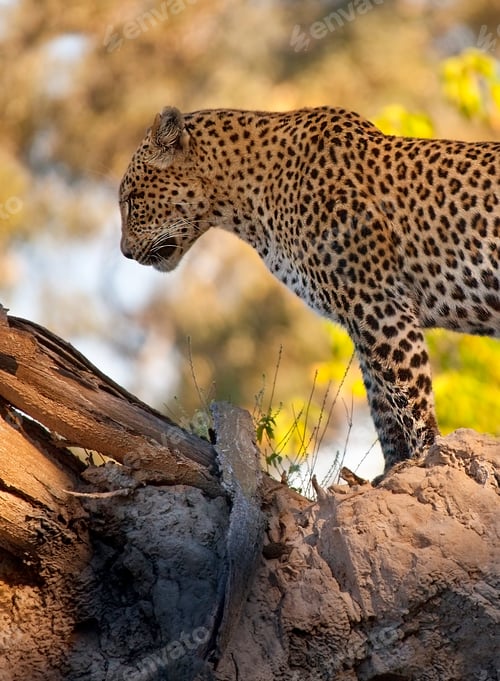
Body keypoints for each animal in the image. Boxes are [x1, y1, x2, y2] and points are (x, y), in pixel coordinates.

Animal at [119, 106, 500, 472]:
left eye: (131, 200)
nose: (124, 252)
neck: (245, 199)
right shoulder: (363, 319)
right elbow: (383, 404)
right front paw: (392, 470)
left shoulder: (380, 302)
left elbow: (409, 395)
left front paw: (426, 458)